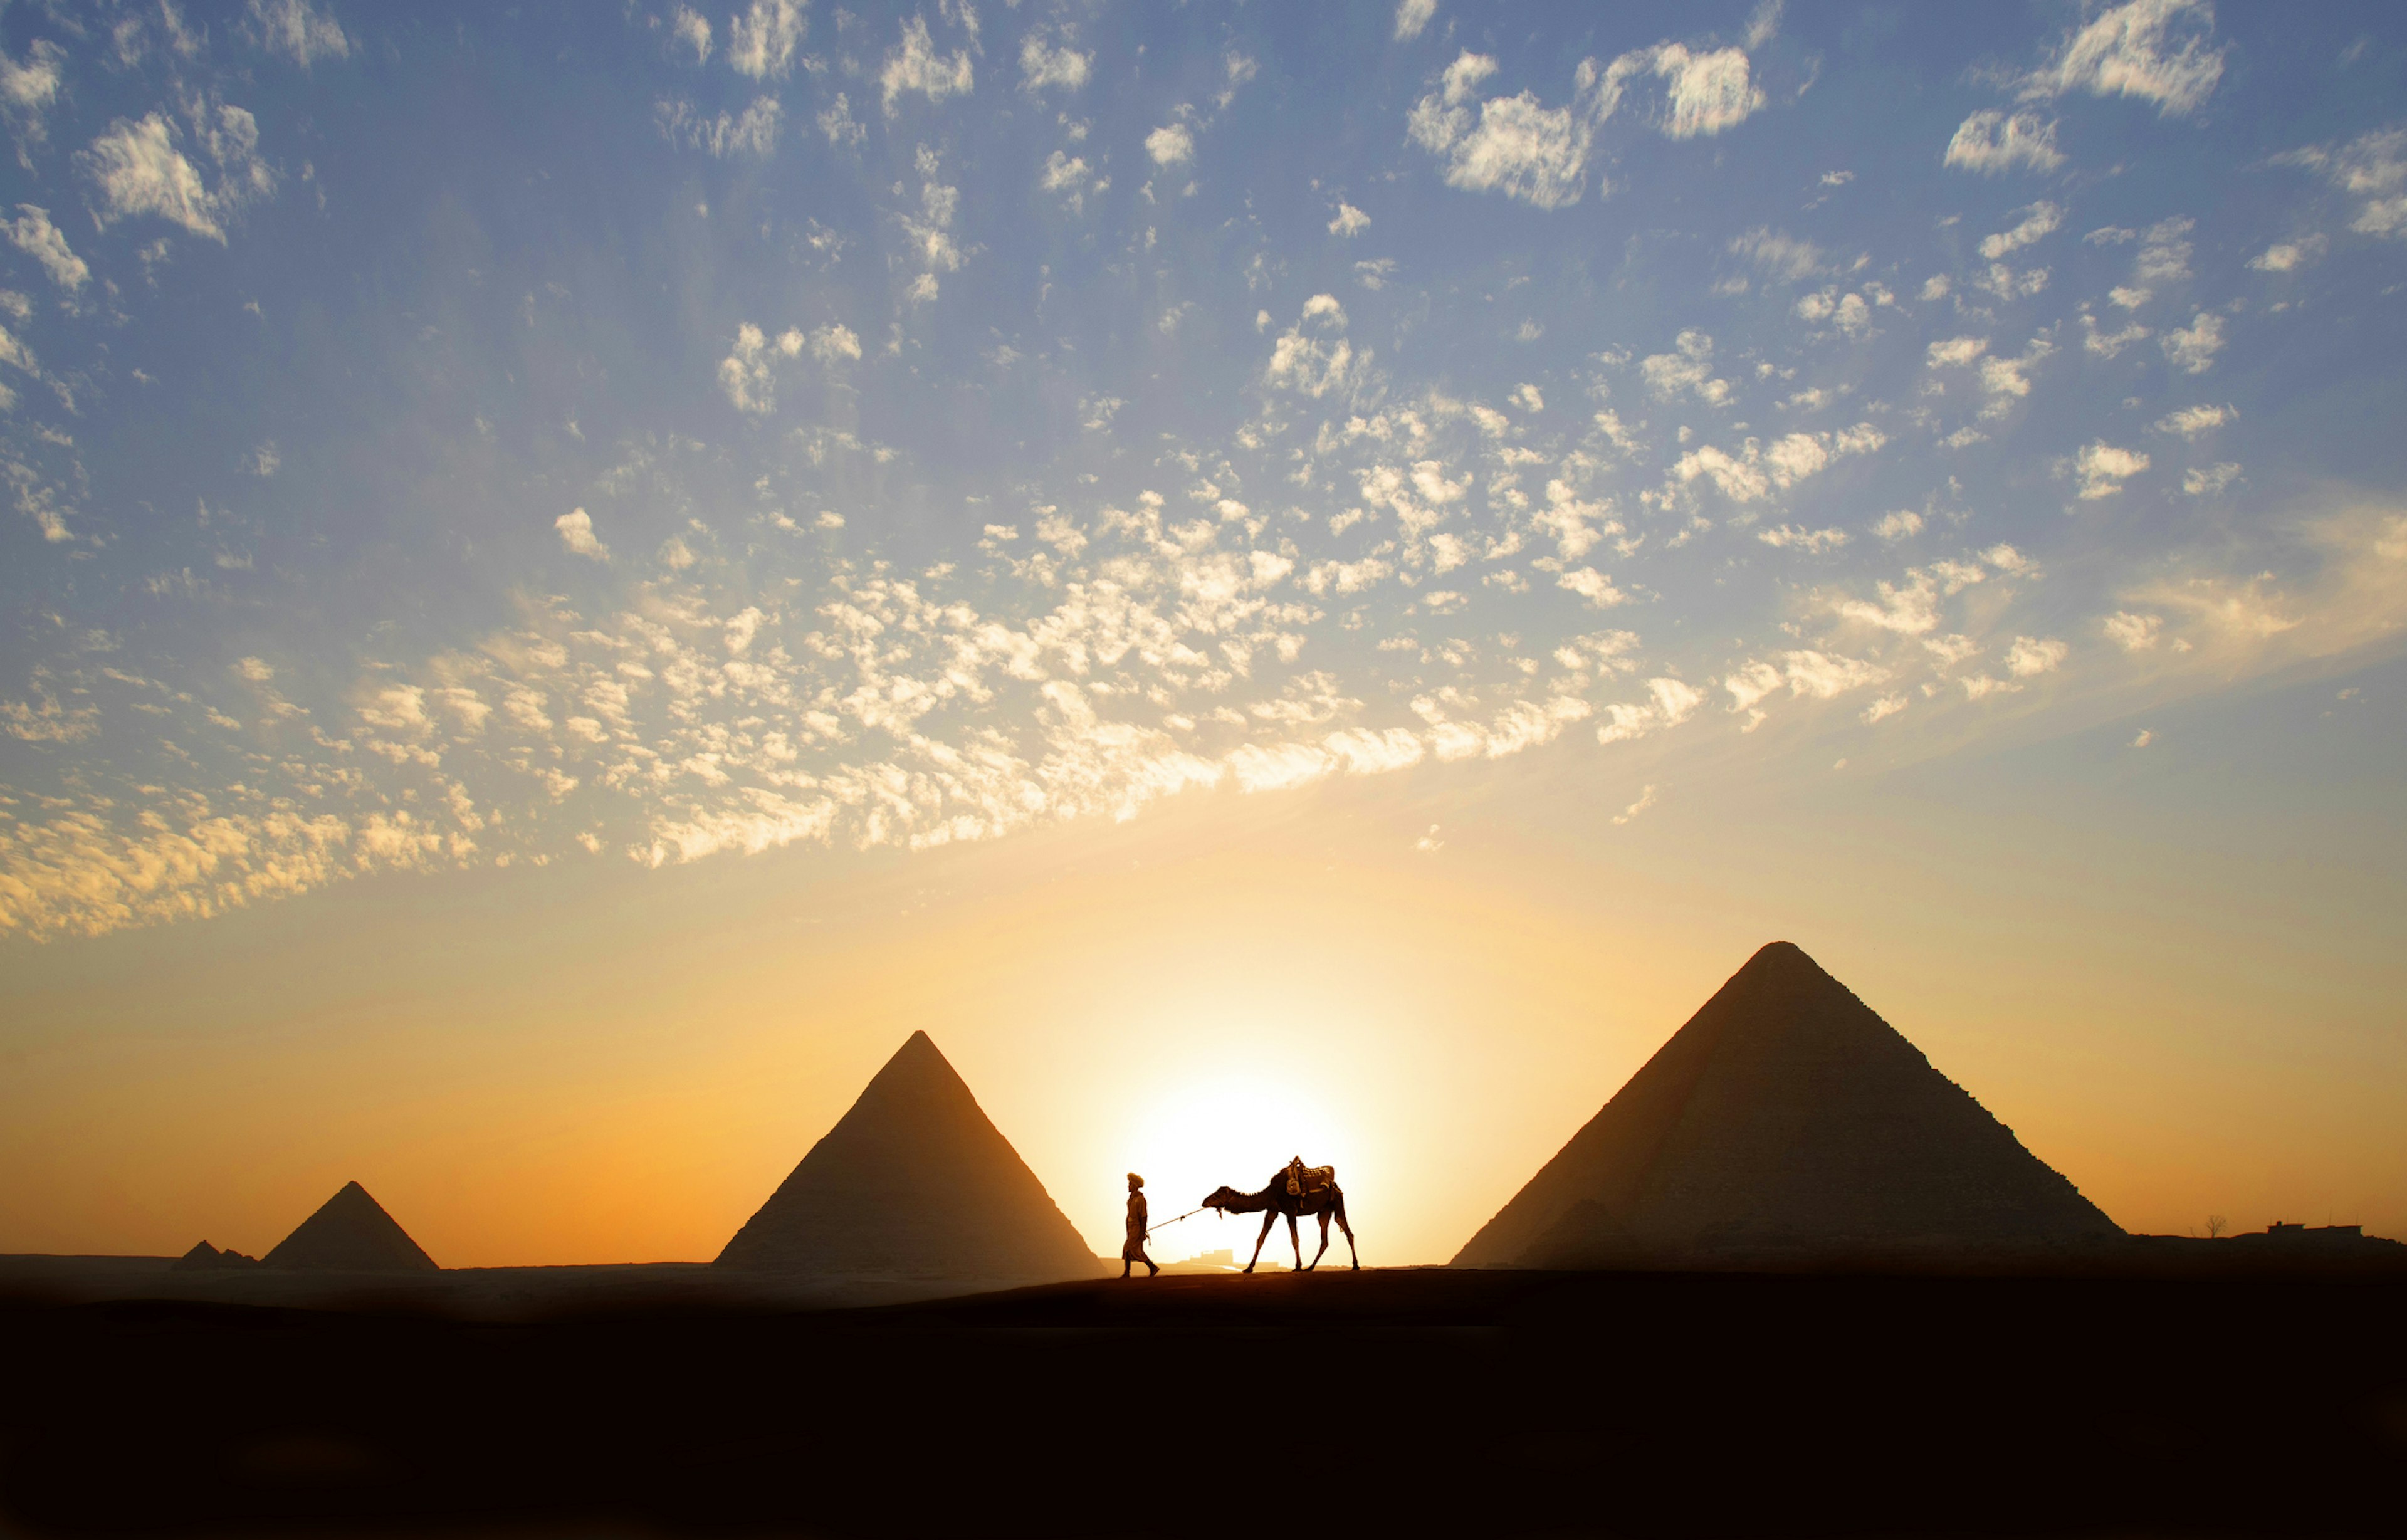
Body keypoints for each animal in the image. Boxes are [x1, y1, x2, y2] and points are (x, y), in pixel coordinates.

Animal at [1198, 1165, 1357, 1270]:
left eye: (1218, 1194)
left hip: (1337, 1202)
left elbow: (1295, 1239)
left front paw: (1298, 1266)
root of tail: (1334, 1184)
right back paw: (1311, 1267)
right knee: (1324, 1236)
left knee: (1346, 1228)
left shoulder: (1290, 1211)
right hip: (1324, 1210)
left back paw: (1355, 1265)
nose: (1204, 1201)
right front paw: (1249, 1268)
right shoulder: (1272, 1211)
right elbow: (1260, 1239)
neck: (1272, 1193)